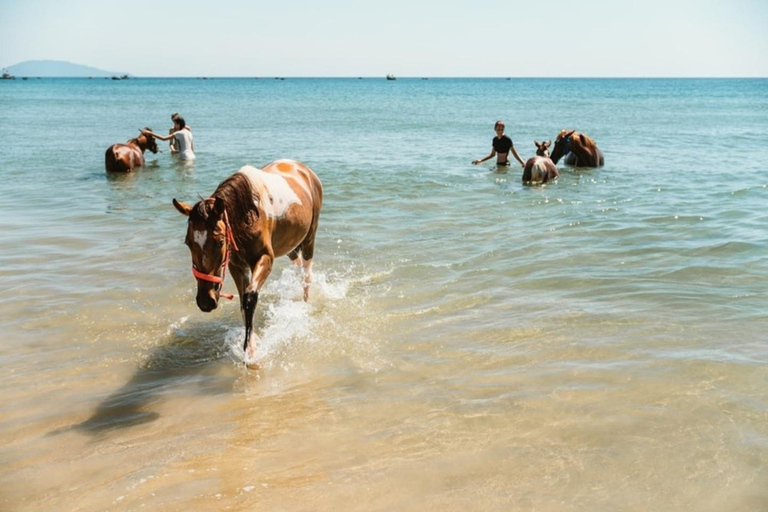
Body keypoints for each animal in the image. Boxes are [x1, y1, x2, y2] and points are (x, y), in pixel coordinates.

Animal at [172, 159, 323, 367]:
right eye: (188, 242)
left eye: (220, 242)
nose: (205, 301)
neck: (247, 215)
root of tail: (304, 169)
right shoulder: (237, 266)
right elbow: (243, 305)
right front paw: (250, 346)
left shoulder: (265, 259)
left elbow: (250, 298)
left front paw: (251, 354)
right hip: (290, 245)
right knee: (297, 265)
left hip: (309, 238)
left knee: (307, 274)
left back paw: (304, 304)